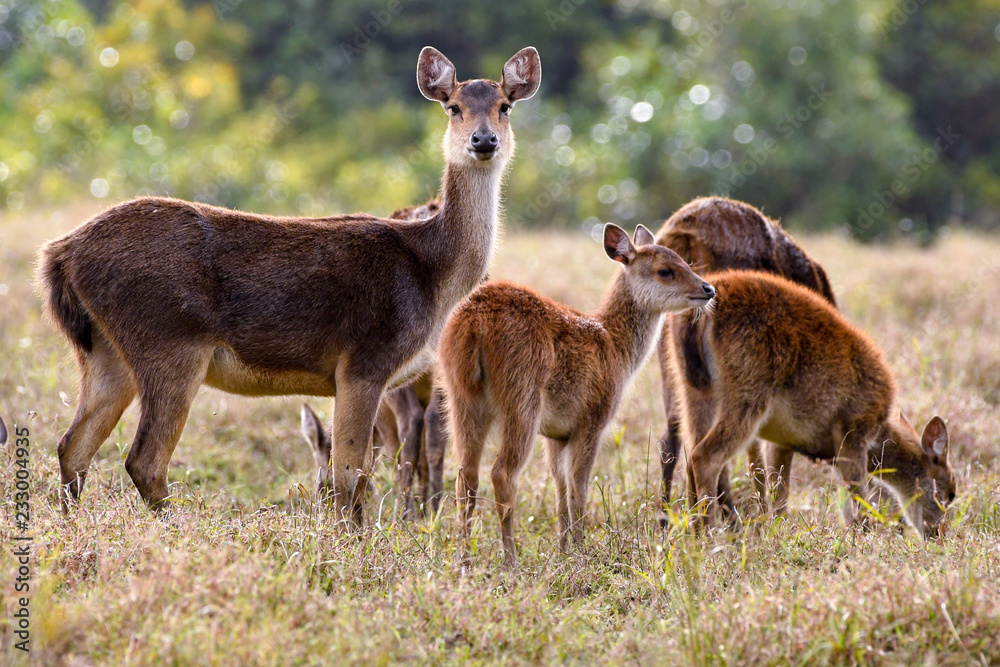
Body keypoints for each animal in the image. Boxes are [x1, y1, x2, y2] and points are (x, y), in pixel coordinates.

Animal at [39, 46, 541, 524]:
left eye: (504, 106)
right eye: (454, 107)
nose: (484, 140)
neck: (433, 275)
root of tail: (61, 254)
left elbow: (357, 474)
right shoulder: (365, 359)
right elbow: (349, 476)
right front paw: (347, 543)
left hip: (104, 351)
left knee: (73, 446)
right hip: (169, 341)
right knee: (143, 460)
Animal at [440, 224, 716, 565]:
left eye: (686, 261)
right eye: (665, 270)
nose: (708, 289)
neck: (616, 346)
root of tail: (474, 323)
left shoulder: (556, 433)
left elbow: (561, 493)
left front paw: (564, 550)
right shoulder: (592, 419)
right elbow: (579, 489)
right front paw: (581, 551)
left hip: (460, 396)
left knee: (465, 476)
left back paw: (464, 558)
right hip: (522, 396)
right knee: (502, 474)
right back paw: (510, 559)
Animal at [666, 270, 956, 538]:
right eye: (950, 493)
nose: (939, 534)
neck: (880, 429)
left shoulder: (783, 442)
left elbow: (781, 496)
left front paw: (778, 530)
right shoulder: (853, 430)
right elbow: (857, 496)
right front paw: (866, 534)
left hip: (692, 390)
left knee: (690, 456)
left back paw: (693, 533)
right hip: (748, 392)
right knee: (705, 457)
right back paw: (709, 533)